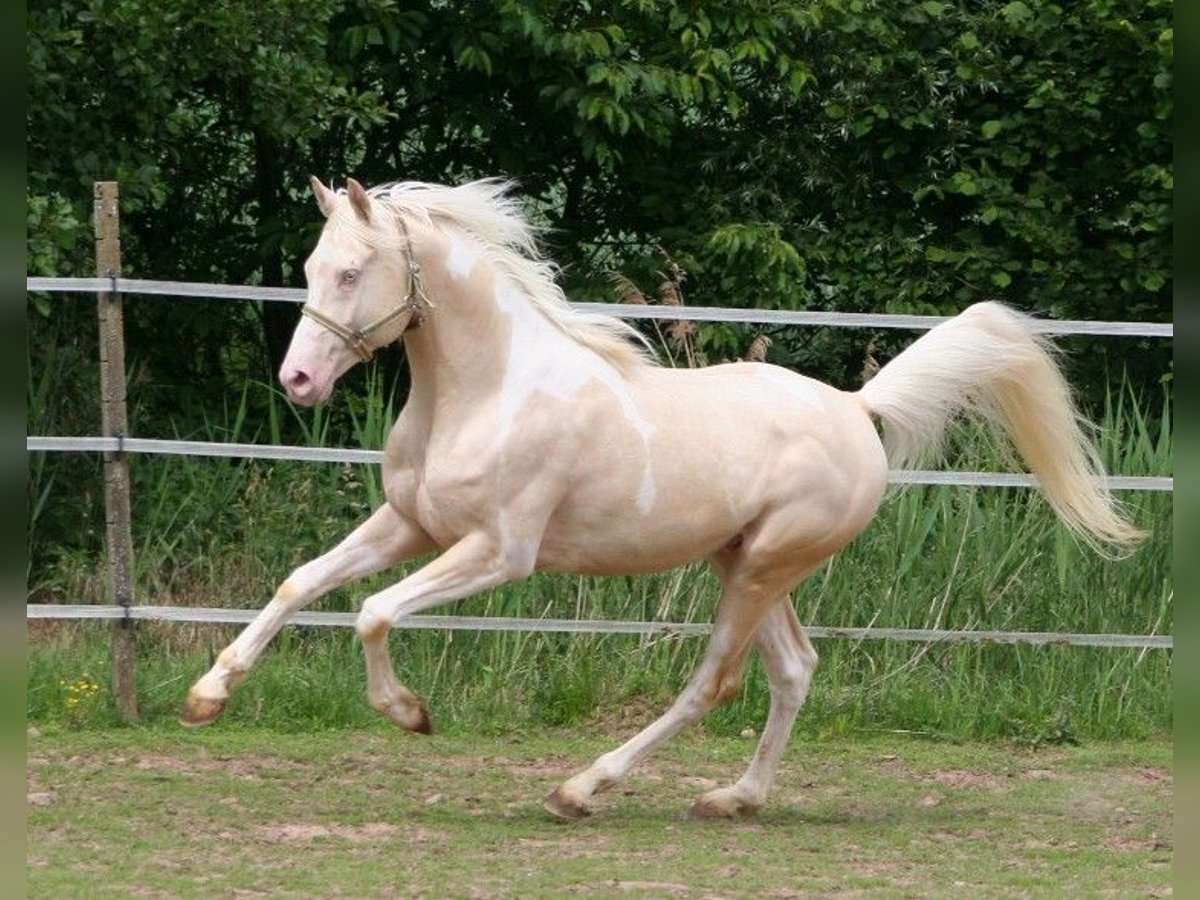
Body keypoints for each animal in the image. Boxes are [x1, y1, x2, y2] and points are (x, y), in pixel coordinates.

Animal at [180, 177, 1142, 825]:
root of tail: (854, 409)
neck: (487, 388)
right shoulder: (411, 524)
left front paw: (410, 715)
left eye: (351, 273)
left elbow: (373, 612)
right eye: (313, 267)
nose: (298, 382)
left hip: (763, 567)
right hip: (749, 561)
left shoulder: (498, 552)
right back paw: (734, 798)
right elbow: (303, 583)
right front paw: (206, 696)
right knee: (795, 670)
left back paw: (581, 789)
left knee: (716, 681)